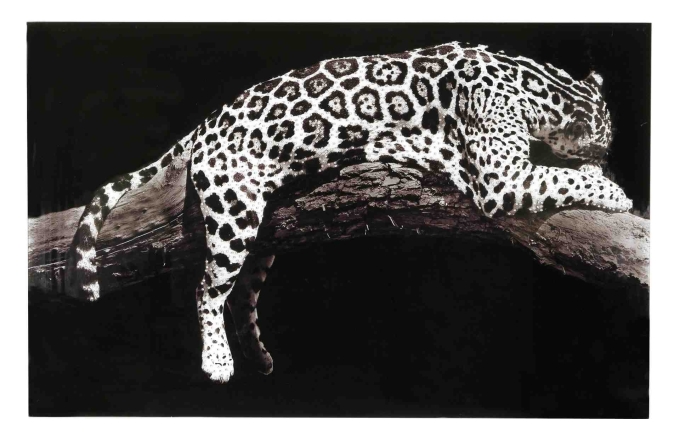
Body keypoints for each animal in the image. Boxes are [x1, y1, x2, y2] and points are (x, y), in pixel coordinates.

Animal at [64, 41, 632, 384]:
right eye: (606, 144)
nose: (608, 158)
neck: (537, 82)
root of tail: (207, 122)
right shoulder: (502, 178)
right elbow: (561, 176)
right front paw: (615, 191)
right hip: (234, 211)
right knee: (208, 286)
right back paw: (218, 360)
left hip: (263, 225)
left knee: (244, 290)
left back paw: (259, 355)